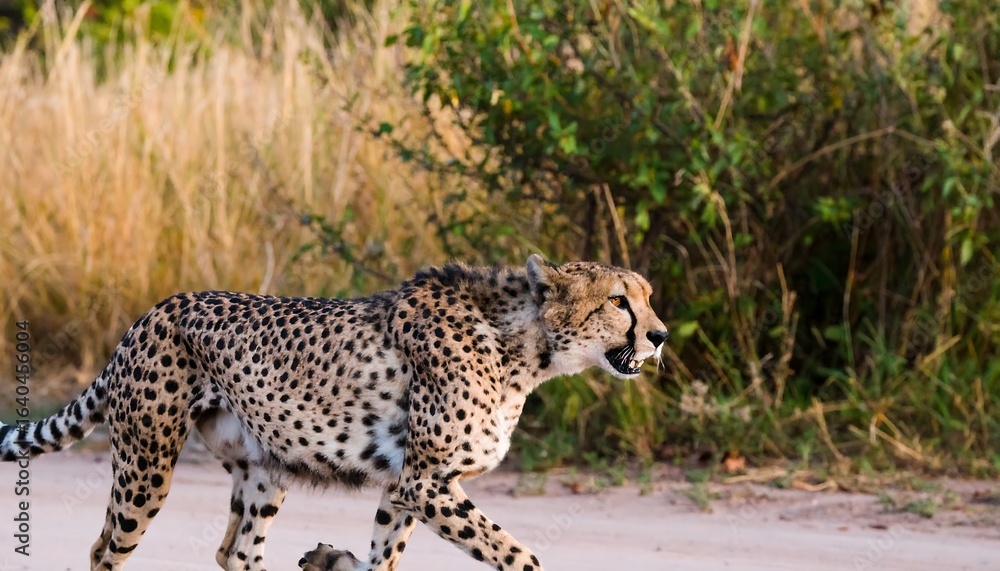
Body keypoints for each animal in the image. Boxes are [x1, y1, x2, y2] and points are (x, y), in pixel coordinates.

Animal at [0, 255, 668, 571]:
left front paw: (334, 559)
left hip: (264, 467)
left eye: (648, 298)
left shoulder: (408, 482)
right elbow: (515, 553)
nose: (660, 336)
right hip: (147, 466)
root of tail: (151, 311)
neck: (523, 348)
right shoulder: (426, 480)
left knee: (237, 551)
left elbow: (385, 555)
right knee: (104, 550)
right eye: (618, 301)